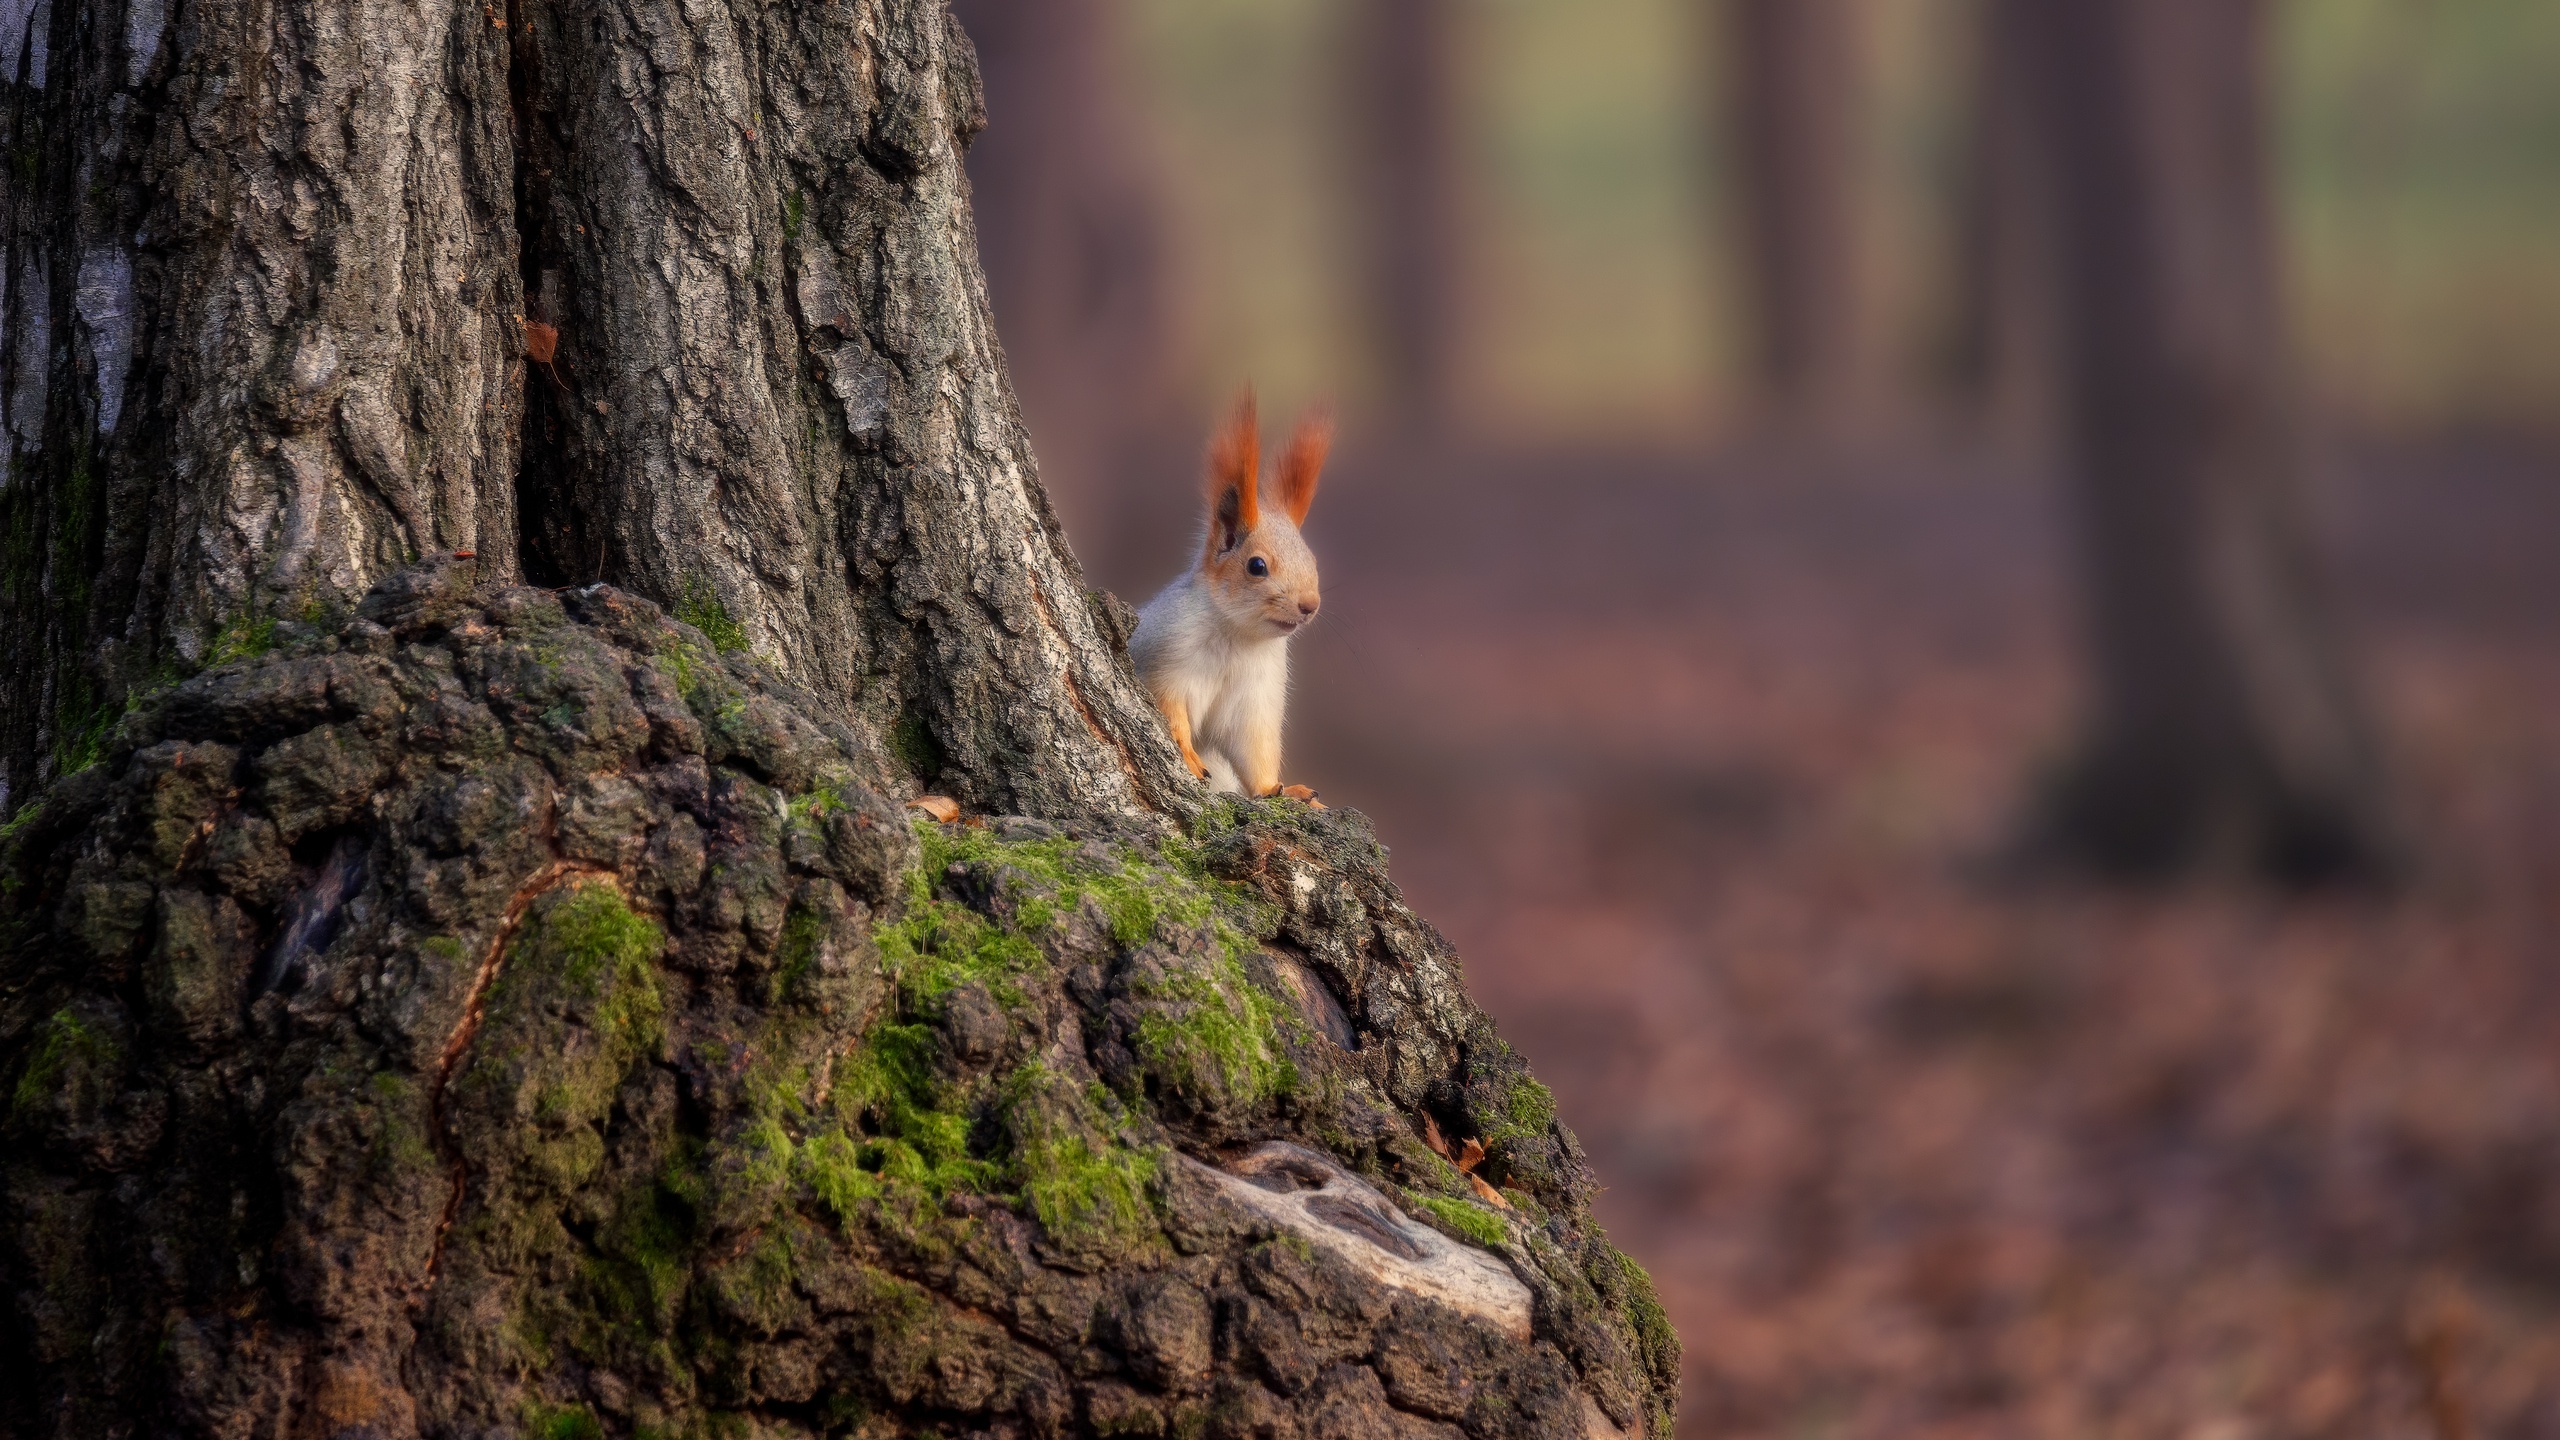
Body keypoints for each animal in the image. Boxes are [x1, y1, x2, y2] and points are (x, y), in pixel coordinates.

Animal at [1131, 389, 1331, 794]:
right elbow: (1169, 710)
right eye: (1256, 566)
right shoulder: (1163, 660)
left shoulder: (1255, 699)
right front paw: (1188, 755)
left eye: (1313, 560)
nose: (1309, 605)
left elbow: (1255, 752)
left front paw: (1279, 791)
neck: (1236, 636)